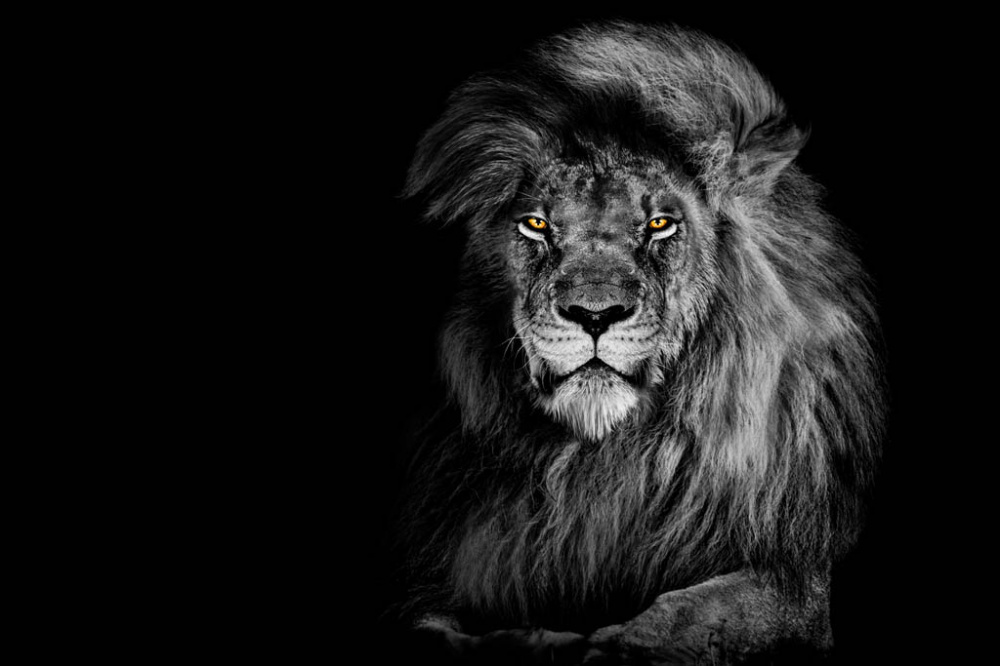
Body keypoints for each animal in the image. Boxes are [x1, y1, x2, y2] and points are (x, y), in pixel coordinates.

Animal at [387, 21, 885, 665]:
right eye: (537, 224)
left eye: (659, 224)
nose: (594, 314)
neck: (602, 460)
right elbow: (429, 622)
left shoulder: (795, 577)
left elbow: (697, 612)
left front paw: (612, 646)